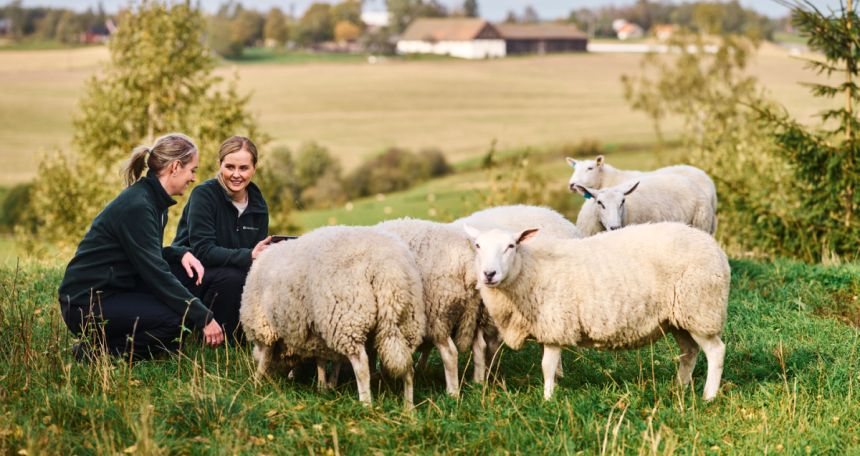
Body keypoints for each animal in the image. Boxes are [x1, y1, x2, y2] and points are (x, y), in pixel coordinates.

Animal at [239, 226, 426, 408]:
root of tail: (387, 268)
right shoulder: (319, 331)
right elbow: (324, 360)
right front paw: (325, 386)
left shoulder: (265, 326)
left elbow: (265, 358)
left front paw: (256, 384)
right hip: (407, 320)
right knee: (408, 367)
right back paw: (409, 408)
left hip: (349, 319)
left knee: (361, 366)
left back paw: (366, 404)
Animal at [464, 223, 732, 400]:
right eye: (477, 246)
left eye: (511, 246)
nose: (489, 274)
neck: (529, 269)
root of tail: (715, 248)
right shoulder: (547, 325)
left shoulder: (555, 323)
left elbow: (547, 366)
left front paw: (548, 399)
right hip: (679, 318)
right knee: (689, 352)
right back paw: (679, 387)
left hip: (700, 308)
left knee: (716, 351)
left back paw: (708, 396)